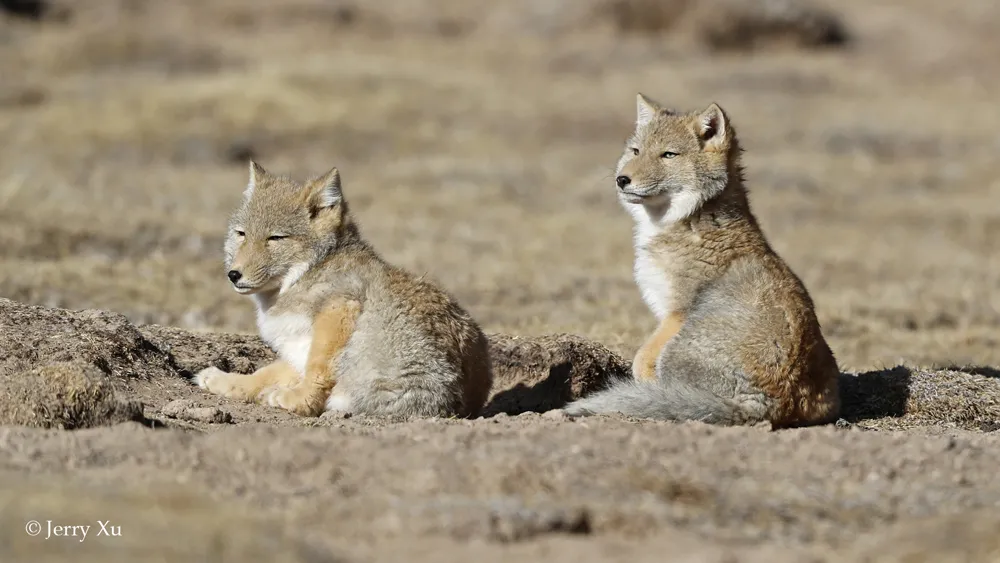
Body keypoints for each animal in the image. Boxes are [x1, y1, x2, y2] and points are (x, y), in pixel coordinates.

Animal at [568, 94, 840, 428]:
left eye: (668, 154)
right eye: (635, 151)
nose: (622, 180)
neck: (691, 220)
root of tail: (771, 404)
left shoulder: (676, 313)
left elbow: (641, 361)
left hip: (675, 350)